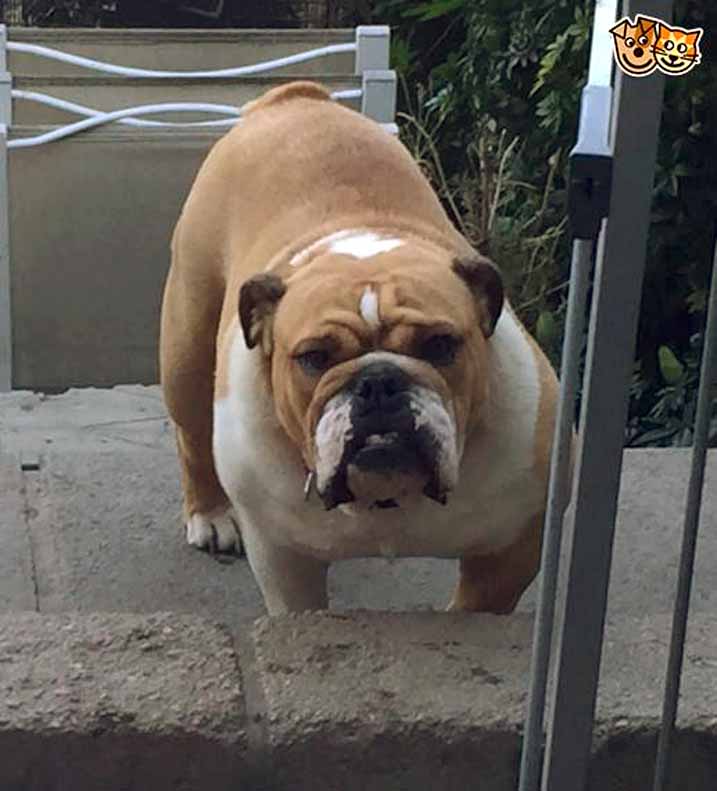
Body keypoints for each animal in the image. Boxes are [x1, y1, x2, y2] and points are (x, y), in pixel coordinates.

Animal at [160, 81, 560, 616]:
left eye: (440, 345)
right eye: (314, 358)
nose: (379, 381)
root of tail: (291, 98)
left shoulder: (512, 543)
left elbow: (476, 605)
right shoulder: (284, 557)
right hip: (186, 346)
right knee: (191, 433)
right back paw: (209, 515)